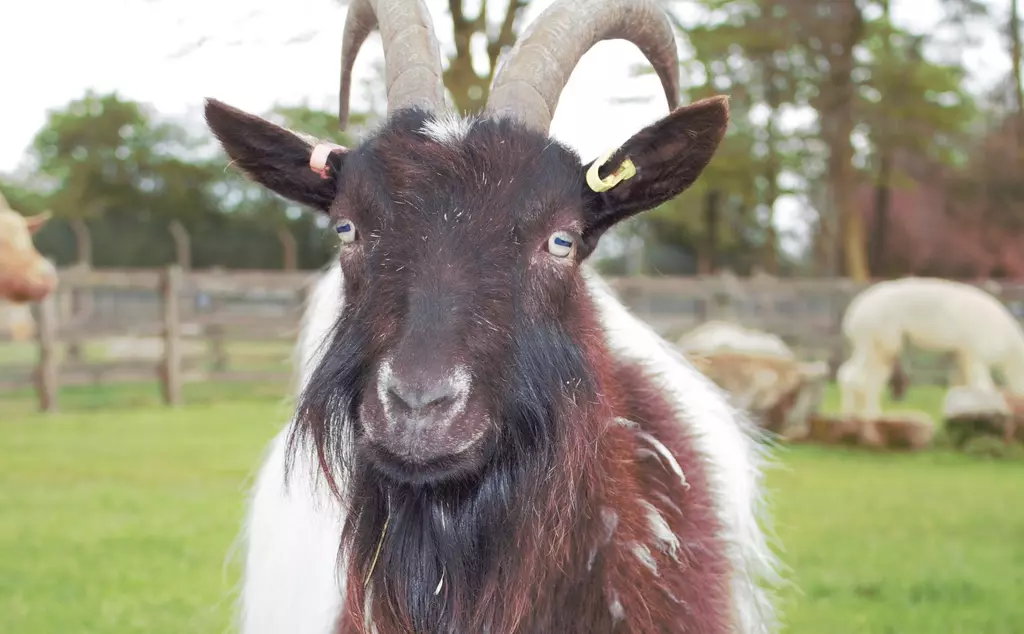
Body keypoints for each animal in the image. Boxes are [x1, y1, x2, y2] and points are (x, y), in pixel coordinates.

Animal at [835, 278, 1024, 421]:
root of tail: (853, 313)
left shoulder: (965, 354)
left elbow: (966, 386)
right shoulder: (978, 353)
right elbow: (984, 387)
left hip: (879, 341)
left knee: (868, 377)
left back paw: (870, 415)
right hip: (878, 335)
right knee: (854, 375)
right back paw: (853, 416)